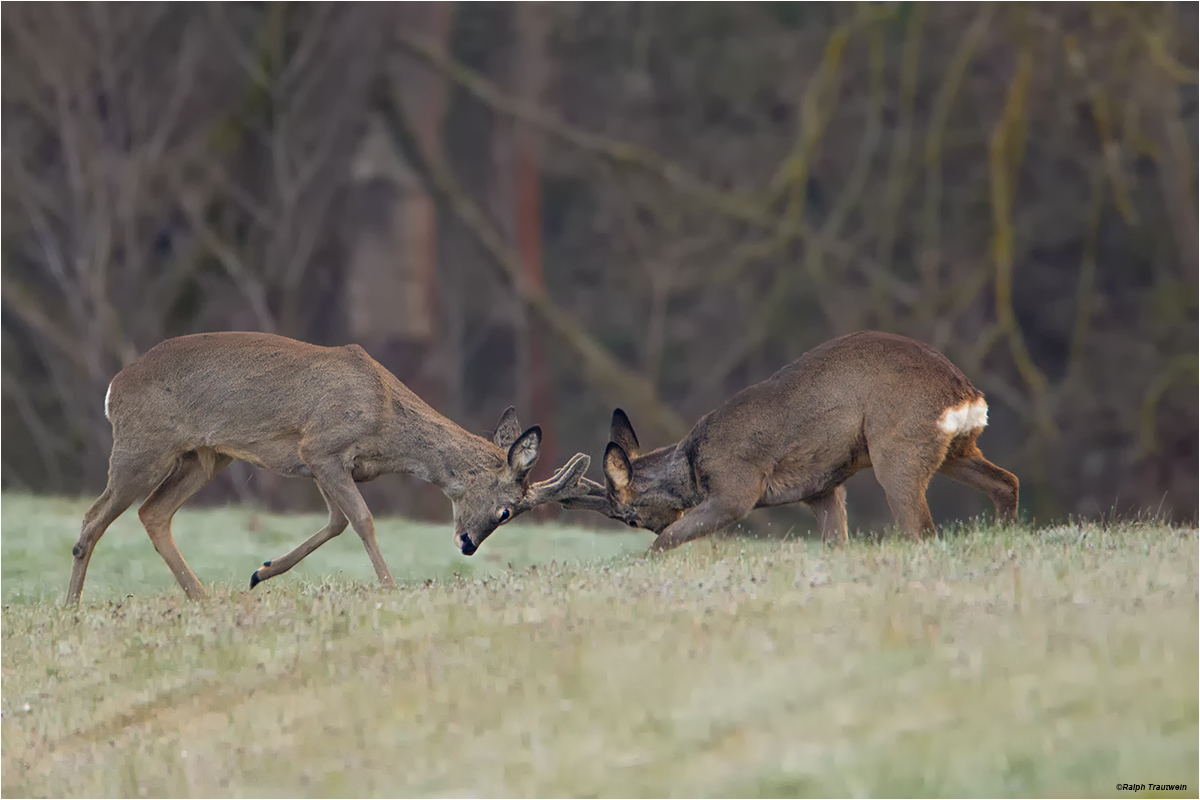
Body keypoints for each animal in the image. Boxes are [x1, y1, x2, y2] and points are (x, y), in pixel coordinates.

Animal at [65, 328, 590, 604]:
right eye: (506, 511)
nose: (467, 546)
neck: (385, 417)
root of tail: (114, 388)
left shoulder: (323, 464)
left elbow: (337, 522)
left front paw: (261, 572)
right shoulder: (322, 447)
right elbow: (362, 520)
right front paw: (390, 588)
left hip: (205, 456)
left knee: (152, 513)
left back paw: (202, 597)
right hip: (143, 446)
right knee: (94, 517)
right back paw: (72, 607)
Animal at [590, 331, 1012, 551]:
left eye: (628, 517)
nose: (645, 526)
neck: (692, 466)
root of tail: (966, 394)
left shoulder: (736, 488)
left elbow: (671, 538)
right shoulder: (822, 490)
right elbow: (836, 542)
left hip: (899, 450)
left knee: (921, 529)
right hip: (957, 449)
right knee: (1006, 482)